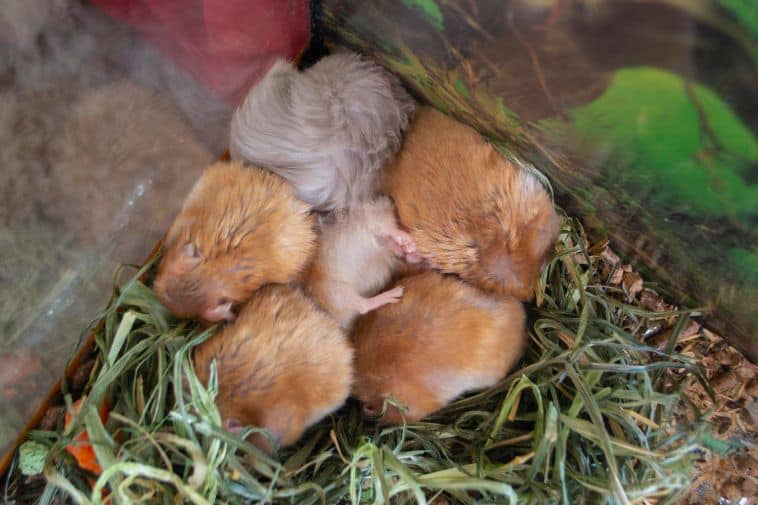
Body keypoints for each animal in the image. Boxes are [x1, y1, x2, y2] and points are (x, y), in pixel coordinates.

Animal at [303, 196, 421, 330]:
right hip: (337, 290)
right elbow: (390, 231)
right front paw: (408, 242)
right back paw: (395, 293)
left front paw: (410, 250)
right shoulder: (373, 221)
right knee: (363, 306)